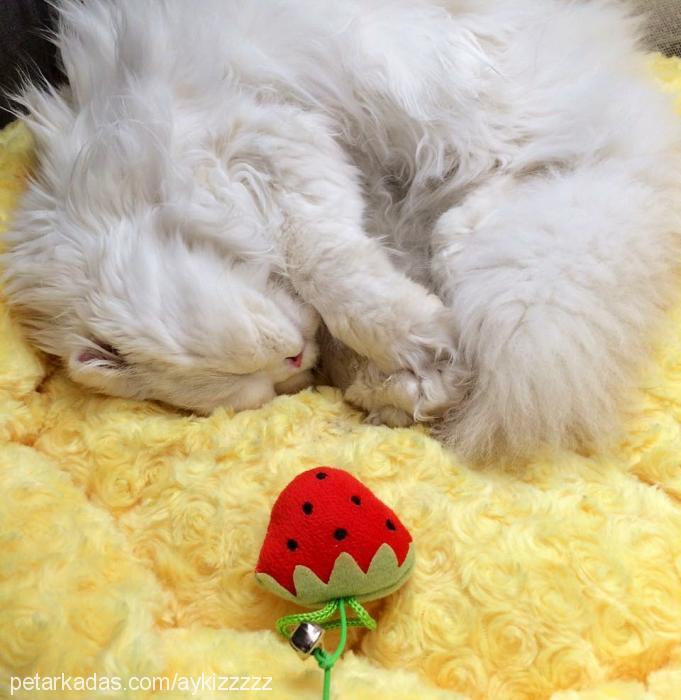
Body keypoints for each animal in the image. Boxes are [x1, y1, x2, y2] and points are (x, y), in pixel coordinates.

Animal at [1, 0, 680, 460]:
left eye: (255, 365)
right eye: (264, 385)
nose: (295, 359)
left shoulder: (272, 139)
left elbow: (333, 274)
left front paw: (418, 341)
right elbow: (360, 314)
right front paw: (416, 384)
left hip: (462, 102)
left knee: (510, 182)